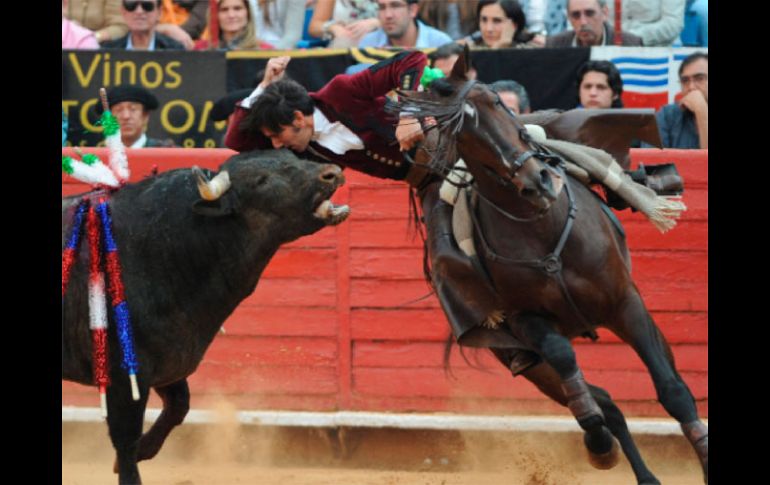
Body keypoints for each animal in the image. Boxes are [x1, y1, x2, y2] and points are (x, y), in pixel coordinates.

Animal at [61, 149, 350, 482]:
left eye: (291, 156)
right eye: (261, 181)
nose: (331, 173)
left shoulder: (170, 358)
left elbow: (179, 407)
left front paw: (143, 451)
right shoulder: (125, 374)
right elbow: (125, 439)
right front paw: (127, 465)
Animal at [396, 53, 708, 484]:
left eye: (498, 102)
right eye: (463, 134)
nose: (538, 182)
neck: (540, 226)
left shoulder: (625, 303)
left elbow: (674, 391)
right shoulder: (526, 320)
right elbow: (566, 360)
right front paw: (598, 443)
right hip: (526, 362)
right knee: (604, 402)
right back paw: (618, 456)